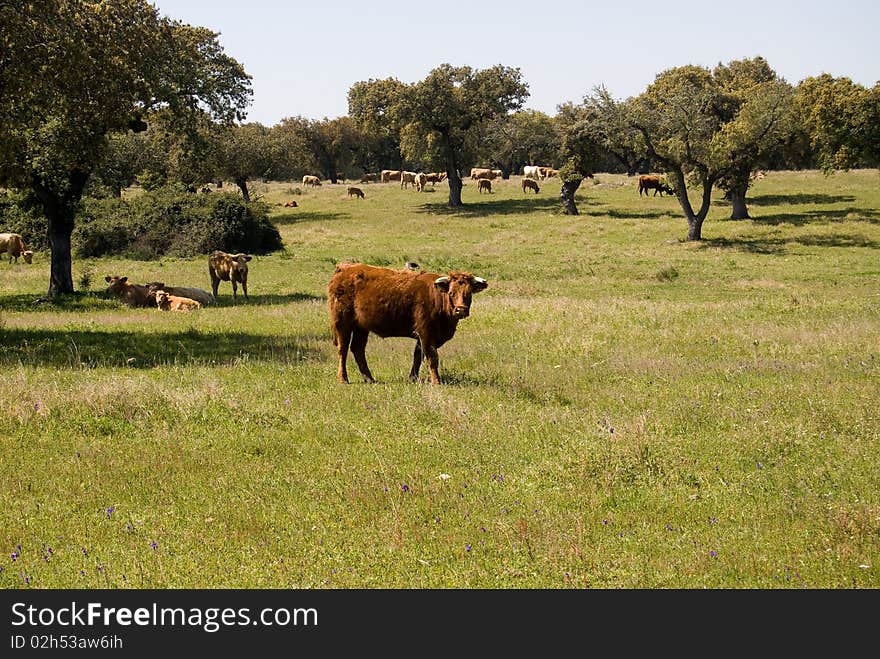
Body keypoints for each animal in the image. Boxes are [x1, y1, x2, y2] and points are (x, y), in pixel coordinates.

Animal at [326, 262, 488, 386]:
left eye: (468, 293)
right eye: (452, 293)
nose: (461, 310)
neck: (437, 296)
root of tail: (344, 268)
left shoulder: (422, 336)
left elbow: (418, 356)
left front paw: (413, 378)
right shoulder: (426, 333)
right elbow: (432, 357)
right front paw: (436, 381)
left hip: (361, 327)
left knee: (358, 349)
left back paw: (370, 379)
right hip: (342, 323)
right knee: (343, 349)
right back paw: (343, 379)